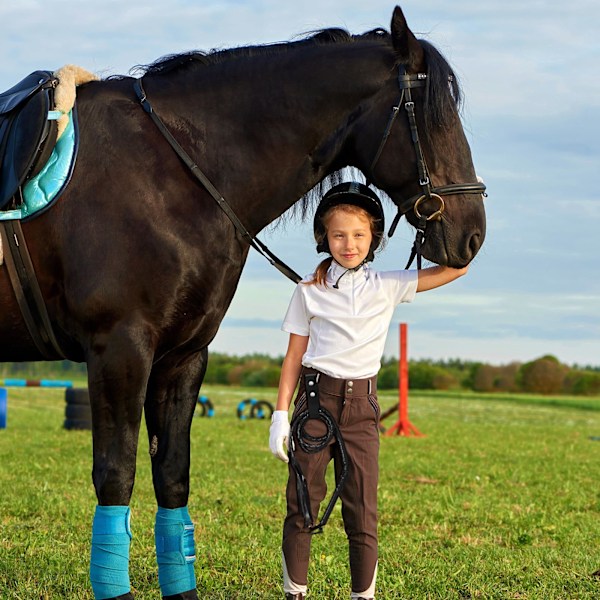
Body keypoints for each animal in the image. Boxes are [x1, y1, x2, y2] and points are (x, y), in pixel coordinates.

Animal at [0, 5, 482, 600]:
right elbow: (116, 475)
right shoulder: (119, 350)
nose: (473, 235)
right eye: (434, 117)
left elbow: (172, 477)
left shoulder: (182, 356)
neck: (167, 173)